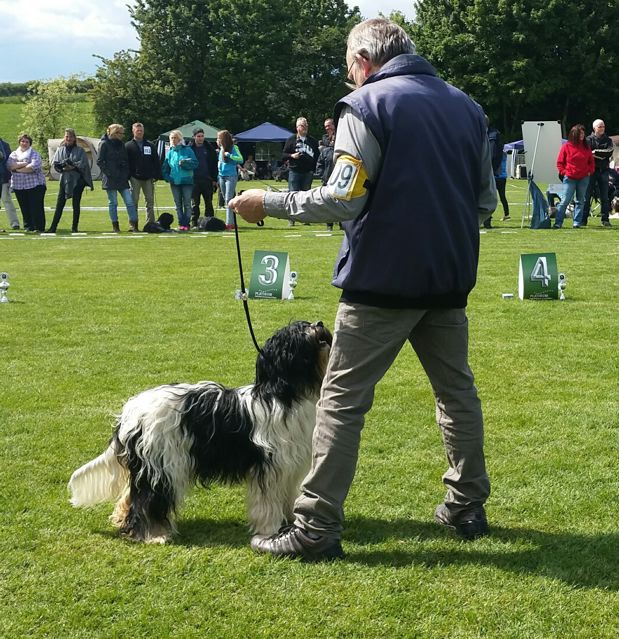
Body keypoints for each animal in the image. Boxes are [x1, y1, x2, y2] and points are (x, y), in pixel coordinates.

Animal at [68, 322, 334, 544]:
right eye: (301, 330)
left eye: (307, 323)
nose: (320, 323)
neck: (285, 396)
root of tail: (130, 413)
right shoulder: (269, 468)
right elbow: (267, 504)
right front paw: (270, 531)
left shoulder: (289, 468)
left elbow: (288, 498)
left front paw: (290, 521)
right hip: (163, 465)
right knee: (147, 501)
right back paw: (154, 535)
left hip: (147, 466)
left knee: (130, 495)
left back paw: (123, 520)